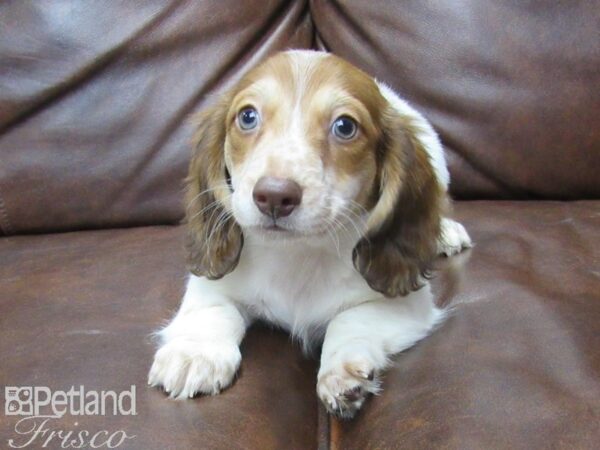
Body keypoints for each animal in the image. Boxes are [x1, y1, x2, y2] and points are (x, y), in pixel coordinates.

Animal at [148, 49, 472, 418]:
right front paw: (194, 354)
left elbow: (347, 319)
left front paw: (341, 370)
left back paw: (445, 233)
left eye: (345, 126)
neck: (298, 253)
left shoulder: (407, 305)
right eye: (247, 116)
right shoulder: (210, 284)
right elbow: (214, 310)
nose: (274, 196)